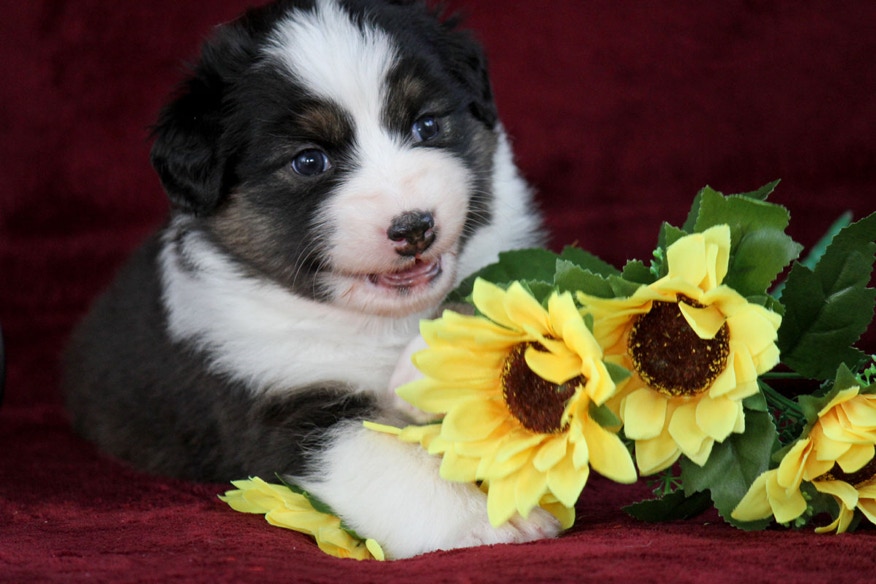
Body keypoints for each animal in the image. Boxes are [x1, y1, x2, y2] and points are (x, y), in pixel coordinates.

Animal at [63, 0, 556, 558]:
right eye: (309, 161)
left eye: (427, 126)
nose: (414, 227)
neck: (376, 321)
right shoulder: (282, 402)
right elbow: (390, 462)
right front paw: (493, 521)